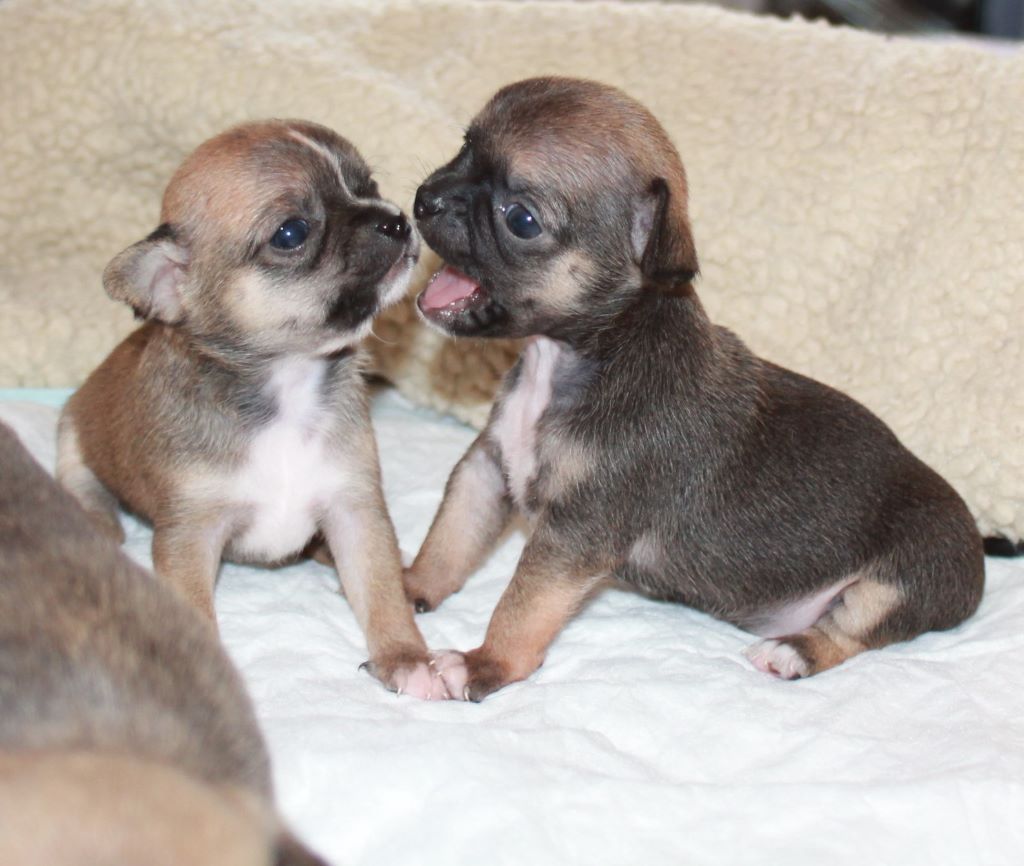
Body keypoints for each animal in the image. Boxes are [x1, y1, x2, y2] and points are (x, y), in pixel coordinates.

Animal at [57, 120, 451, 699]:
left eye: (367, 185)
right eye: (291, 233)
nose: (396, 218)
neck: (288, 383)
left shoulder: (353, 508)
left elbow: (379, 591)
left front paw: (407, 658)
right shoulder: (191, 536)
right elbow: (195, 611)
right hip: (72, 436)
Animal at [404, 77, 985, 701]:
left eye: (522, 220)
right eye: (464, 149)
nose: (425, 198)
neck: (577, 355)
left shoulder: (576, 532)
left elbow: (522, 604)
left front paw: (485, 664)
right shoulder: (488, 468)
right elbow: (451, 538)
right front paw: (409, 584)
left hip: (895, 584)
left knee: (850, 633)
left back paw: (792, 652)